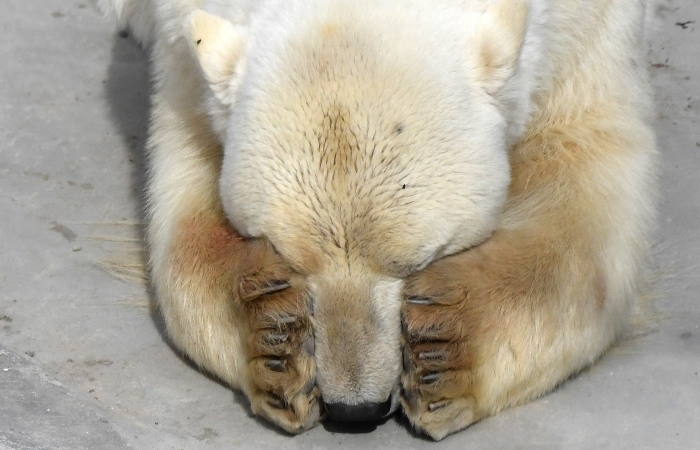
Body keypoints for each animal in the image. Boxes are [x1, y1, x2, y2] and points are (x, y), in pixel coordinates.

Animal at [100, 0, 656, 440]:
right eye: (293, 260)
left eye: (415, 262)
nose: (355, 409)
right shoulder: (182, 58)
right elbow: (184, 231)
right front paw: (273, 341)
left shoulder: (584, 36)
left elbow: (582, 205)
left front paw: (445, 352)